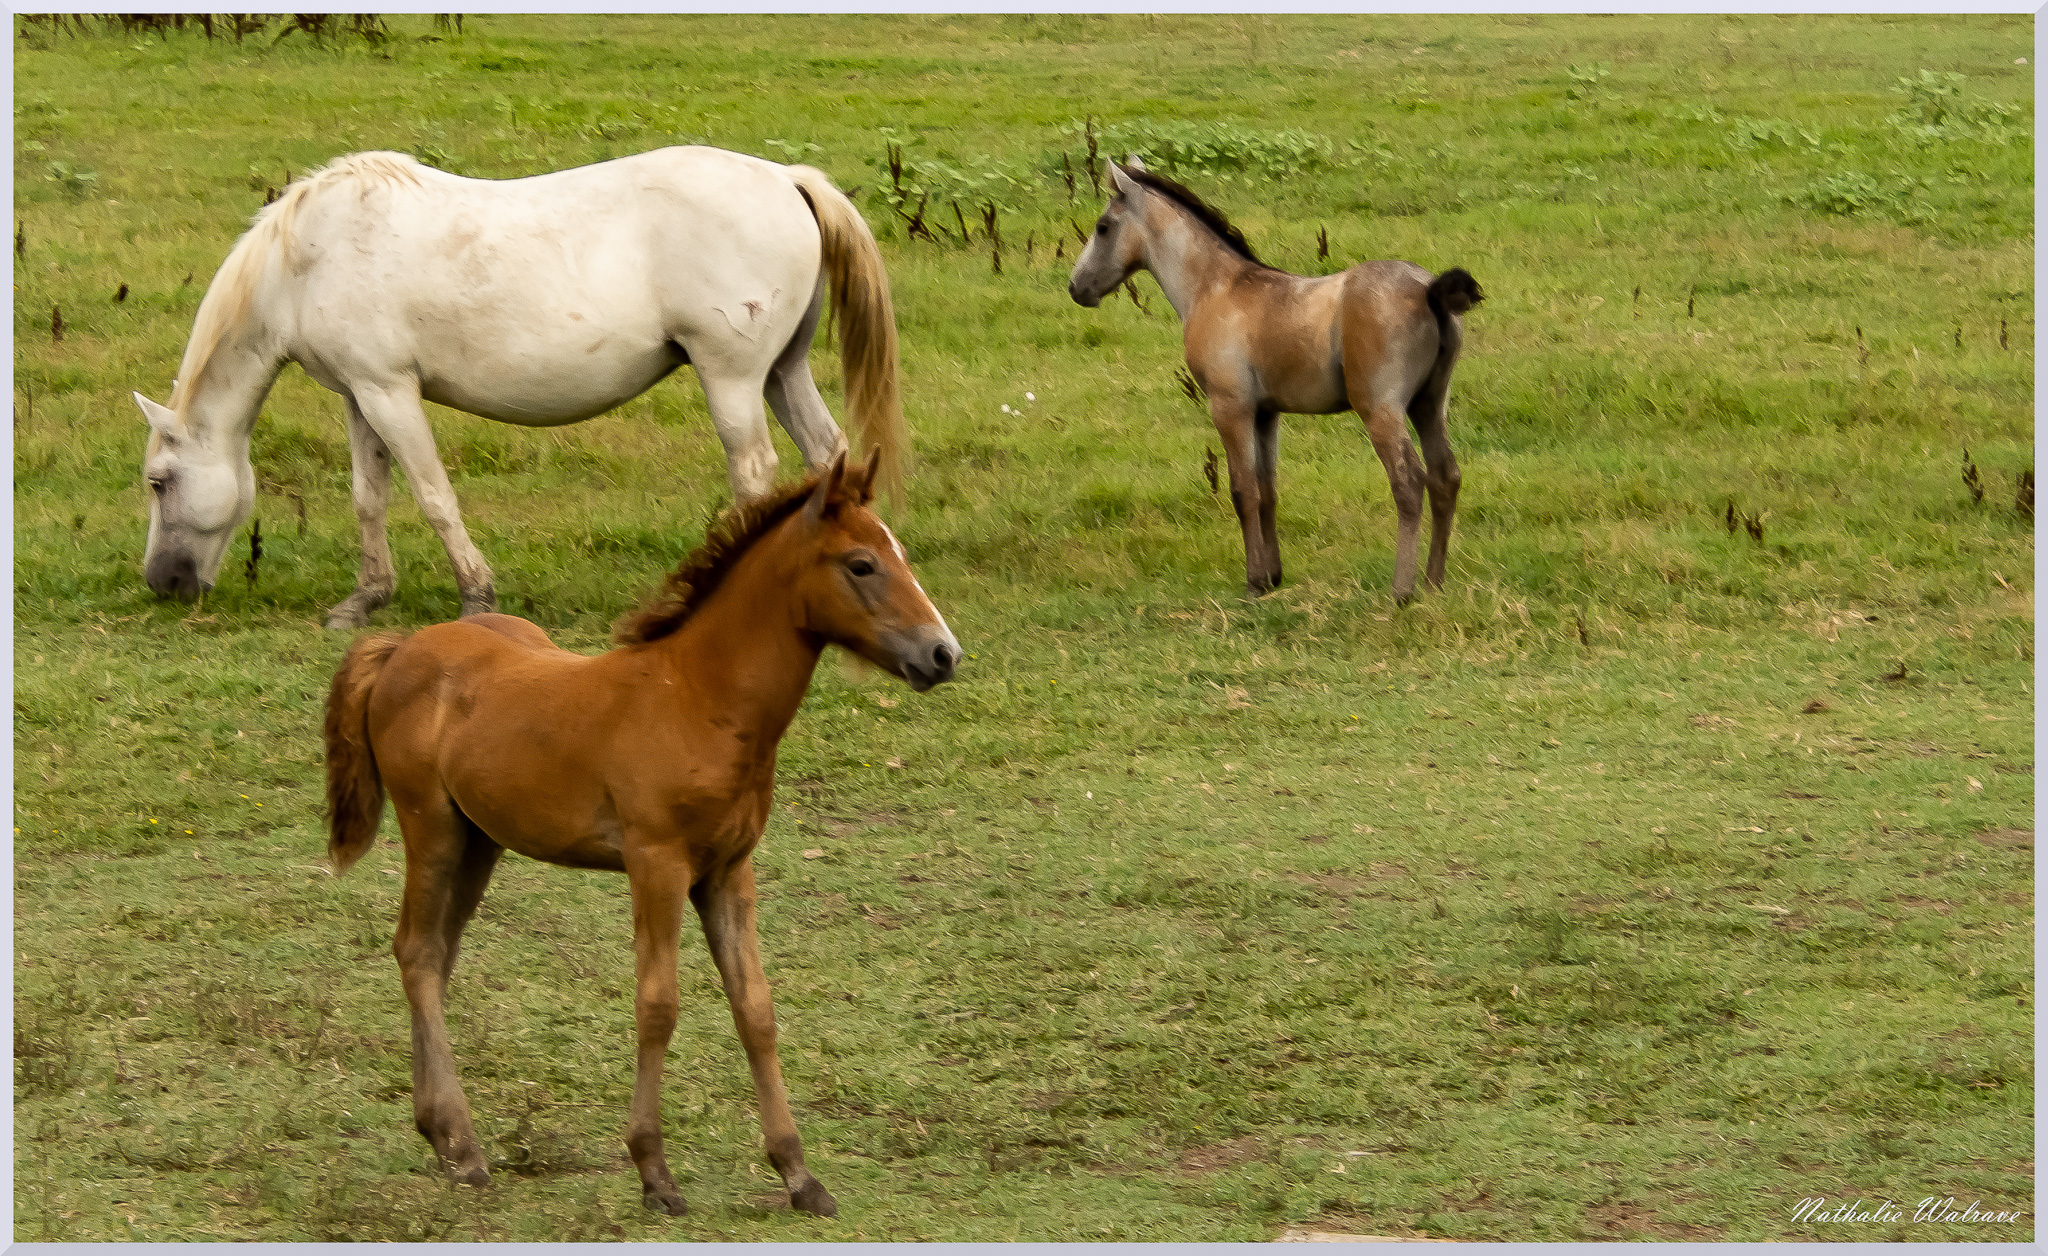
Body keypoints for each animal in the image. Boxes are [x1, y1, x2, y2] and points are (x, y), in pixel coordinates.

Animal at [140, 146, 909, 626]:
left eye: (158, 481)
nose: (161, 584)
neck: (305, 259)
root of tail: (786, 179)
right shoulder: (361, 395)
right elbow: (369, 498)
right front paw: (366, 598)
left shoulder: (391, 393)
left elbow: (433, 496)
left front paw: (476, 596)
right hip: (782, 374)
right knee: (825, 453)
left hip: (734, 380)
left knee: (754, 471)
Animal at [321, 450, 958, 1212]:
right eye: (862, 564)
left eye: (903, 554)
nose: (943, 655)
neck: (701, 700)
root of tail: (402, 648)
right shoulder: (658, 863)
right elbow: (658, 1004)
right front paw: (654, 1171)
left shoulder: (729, 870)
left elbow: (756, 1008)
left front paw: (800, 1175)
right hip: (432, 827)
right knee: (417, 952)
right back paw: (465, 1147)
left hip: (480, 841)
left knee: (436, 956)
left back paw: (440, 1136)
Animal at [1064, 157, 1482, 602]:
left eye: (1103, 226)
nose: (1076, 287)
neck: (1216, 288)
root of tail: (1429, 289)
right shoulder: (1266, 413)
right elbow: (1268, 491)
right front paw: (1273, 576)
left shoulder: (1230, 407)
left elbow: (1243, 490)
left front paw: (1254, 582)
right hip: (1430, 405)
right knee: (1445, 477)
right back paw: (1434, 582)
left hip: (1381, 410)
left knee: (1409, 482)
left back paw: (1402, 590)